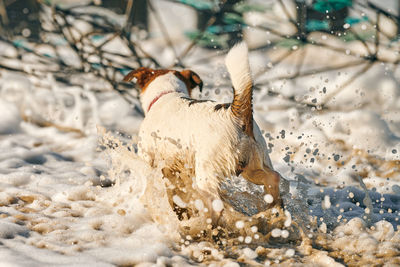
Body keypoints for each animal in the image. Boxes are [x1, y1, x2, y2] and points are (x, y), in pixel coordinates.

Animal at [123, 42, 280, 209]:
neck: (168, 92)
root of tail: (235, 114)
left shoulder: (147, 156)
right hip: (253, 165)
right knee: (273, 177)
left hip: (208, 173)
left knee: (216, 203)